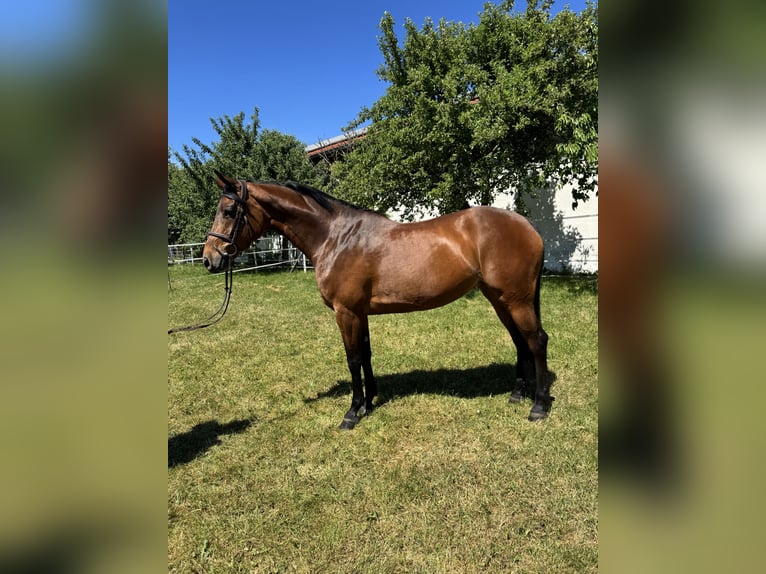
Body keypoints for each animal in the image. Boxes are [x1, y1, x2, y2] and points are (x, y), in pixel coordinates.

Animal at [202, 171, 552, 429]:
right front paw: (369, 403)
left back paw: (538, 406)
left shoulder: (345, 312)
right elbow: (367, 355)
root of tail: (527, 225)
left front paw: (352, 412)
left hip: (516, 299)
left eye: (229, 212)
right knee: (519, 340)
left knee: (536, 341)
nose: (209, 259)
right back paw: (517, 394)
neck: (337, 238)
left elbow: (353, 358)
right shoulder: (360, 313)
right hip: (500, 298)